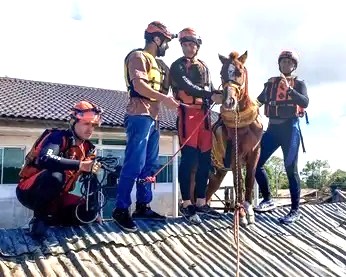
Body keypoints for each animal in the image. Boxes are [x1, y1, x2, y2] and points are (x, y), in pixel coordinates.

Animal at [203, 50, 262, 225]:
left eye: (239, 72)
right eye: (221, 73)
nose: (229, 102)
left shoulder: (255, 152)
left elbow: (249, 180)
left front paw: (249, 211)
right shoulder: (236, 153)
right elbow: (239, 182)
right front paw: (241, 214)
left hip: (218, 173)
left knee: (208, 192)